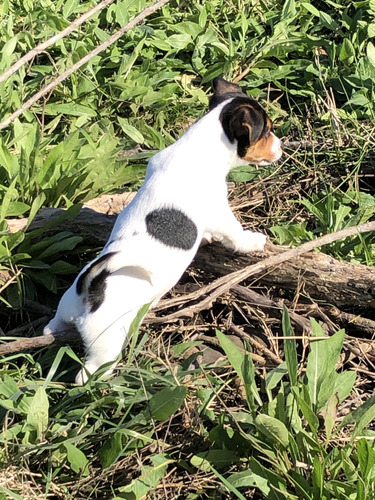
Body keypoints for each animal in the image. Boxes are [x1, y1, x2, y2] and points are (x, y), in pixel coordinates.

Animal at [44, 77, 284, 382]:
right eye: (267, 130)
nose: (282, 145)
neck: (199, 147)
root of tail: (93, 285)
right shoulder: (219, 210)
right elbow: (234, 233)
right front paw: (253, 242)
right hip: (106, 344)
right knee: (88, 373)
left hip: (65, 310)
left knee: (52, 326)